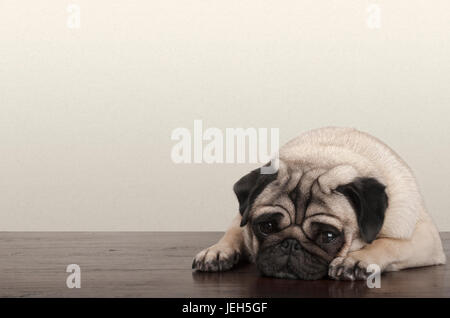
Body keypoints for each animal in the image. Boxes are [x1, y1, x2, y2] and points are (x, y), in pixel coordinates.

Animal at [192, 127, 444, 280]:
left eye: (328, 236)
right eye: (267, 227)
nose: (290, 244)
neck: (321, 159)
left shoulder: (426, 238)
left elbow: (389, 244)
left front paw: (356, 260)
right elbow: (237, 231)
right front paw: (219, 251)